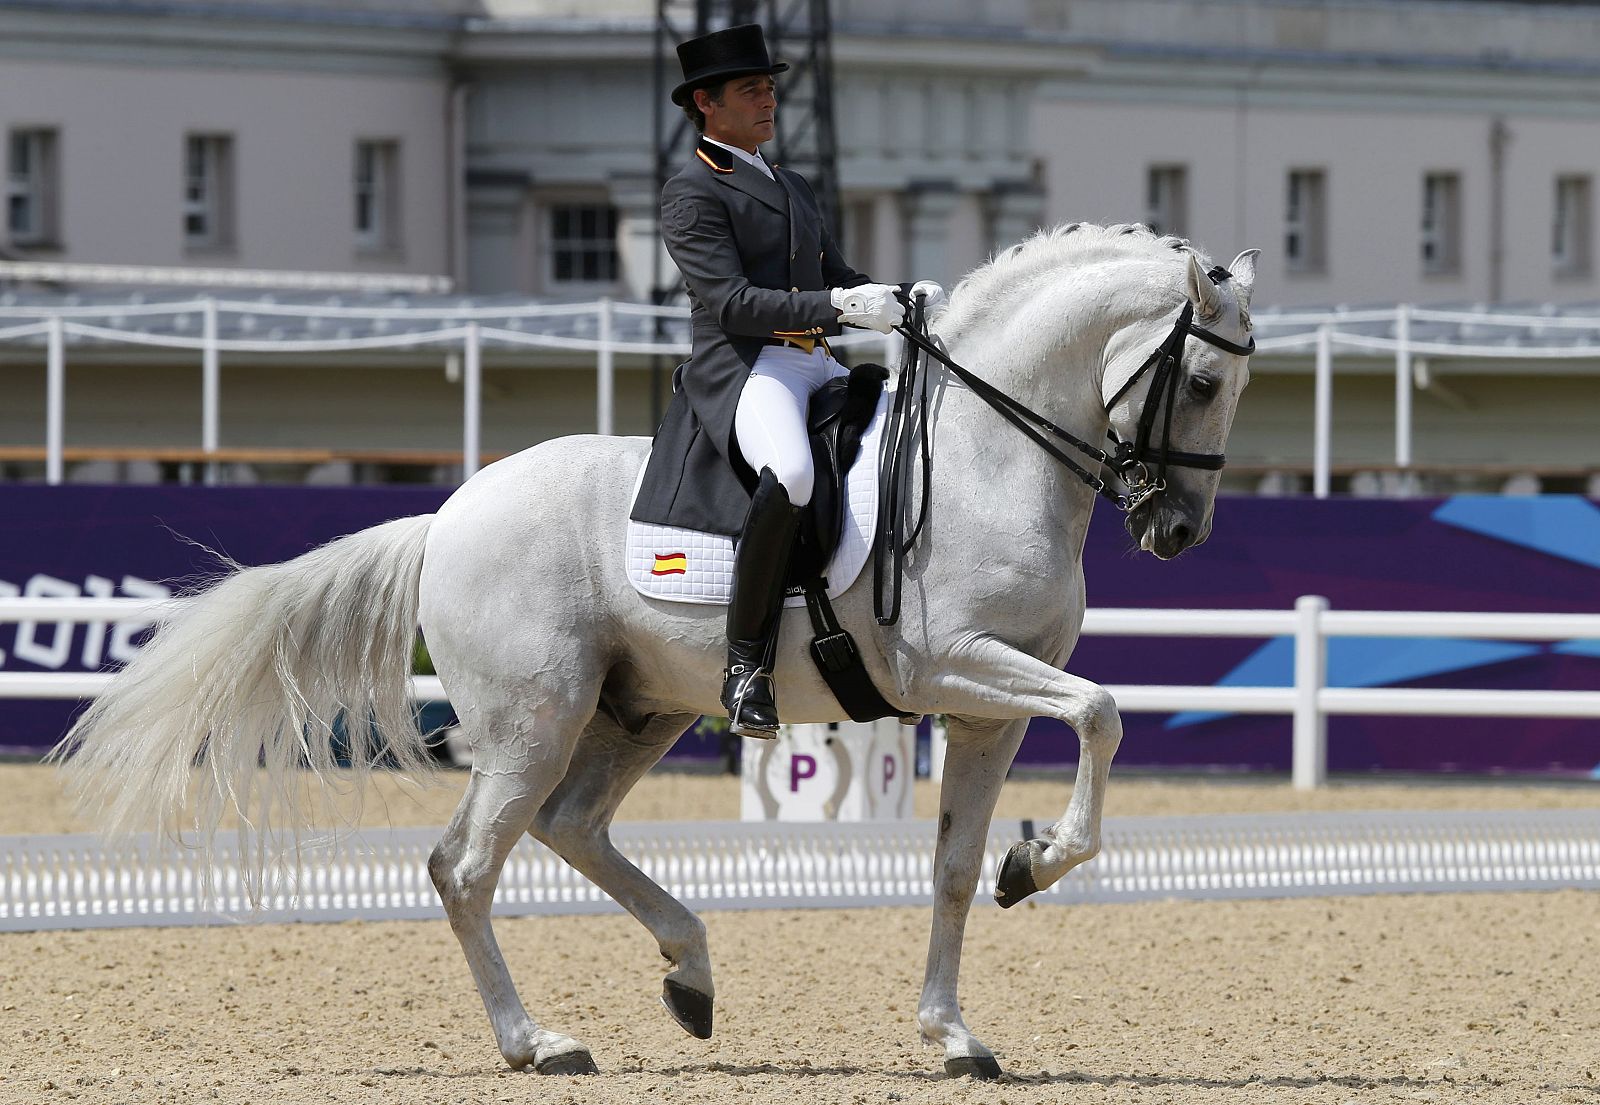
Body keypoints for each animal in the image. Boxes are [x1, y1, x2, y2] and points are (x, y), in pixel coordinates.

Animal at [56, 222, 1260, 1081]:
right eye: (1202, 383)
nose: (1178, 531)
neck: (984, 455)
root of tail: (446, 515)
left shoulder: (986, 710)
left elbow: (958, 865)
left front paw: (963, 1008)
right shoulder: (952, 664)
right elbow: (1102, 710)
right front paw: (1036, 865)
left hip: (641, 708)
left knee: (573, 825)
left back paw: (691, 973)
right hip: (533, 720)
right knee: (468, 863)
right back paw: (538, 1043)